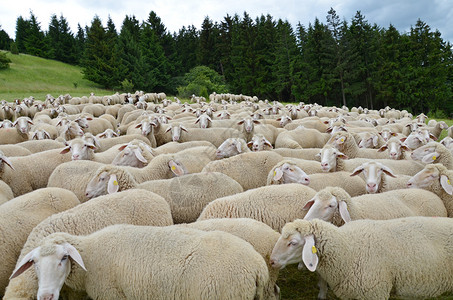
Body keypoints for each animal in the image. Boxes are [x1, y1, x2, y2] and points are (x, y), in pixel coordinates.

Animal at [9, 224, 268, 300]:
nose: (45, 297)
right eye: (34, 263)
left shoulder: (112, 295)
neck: (91, 253)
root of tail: (257, 265)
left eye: (64, 257)